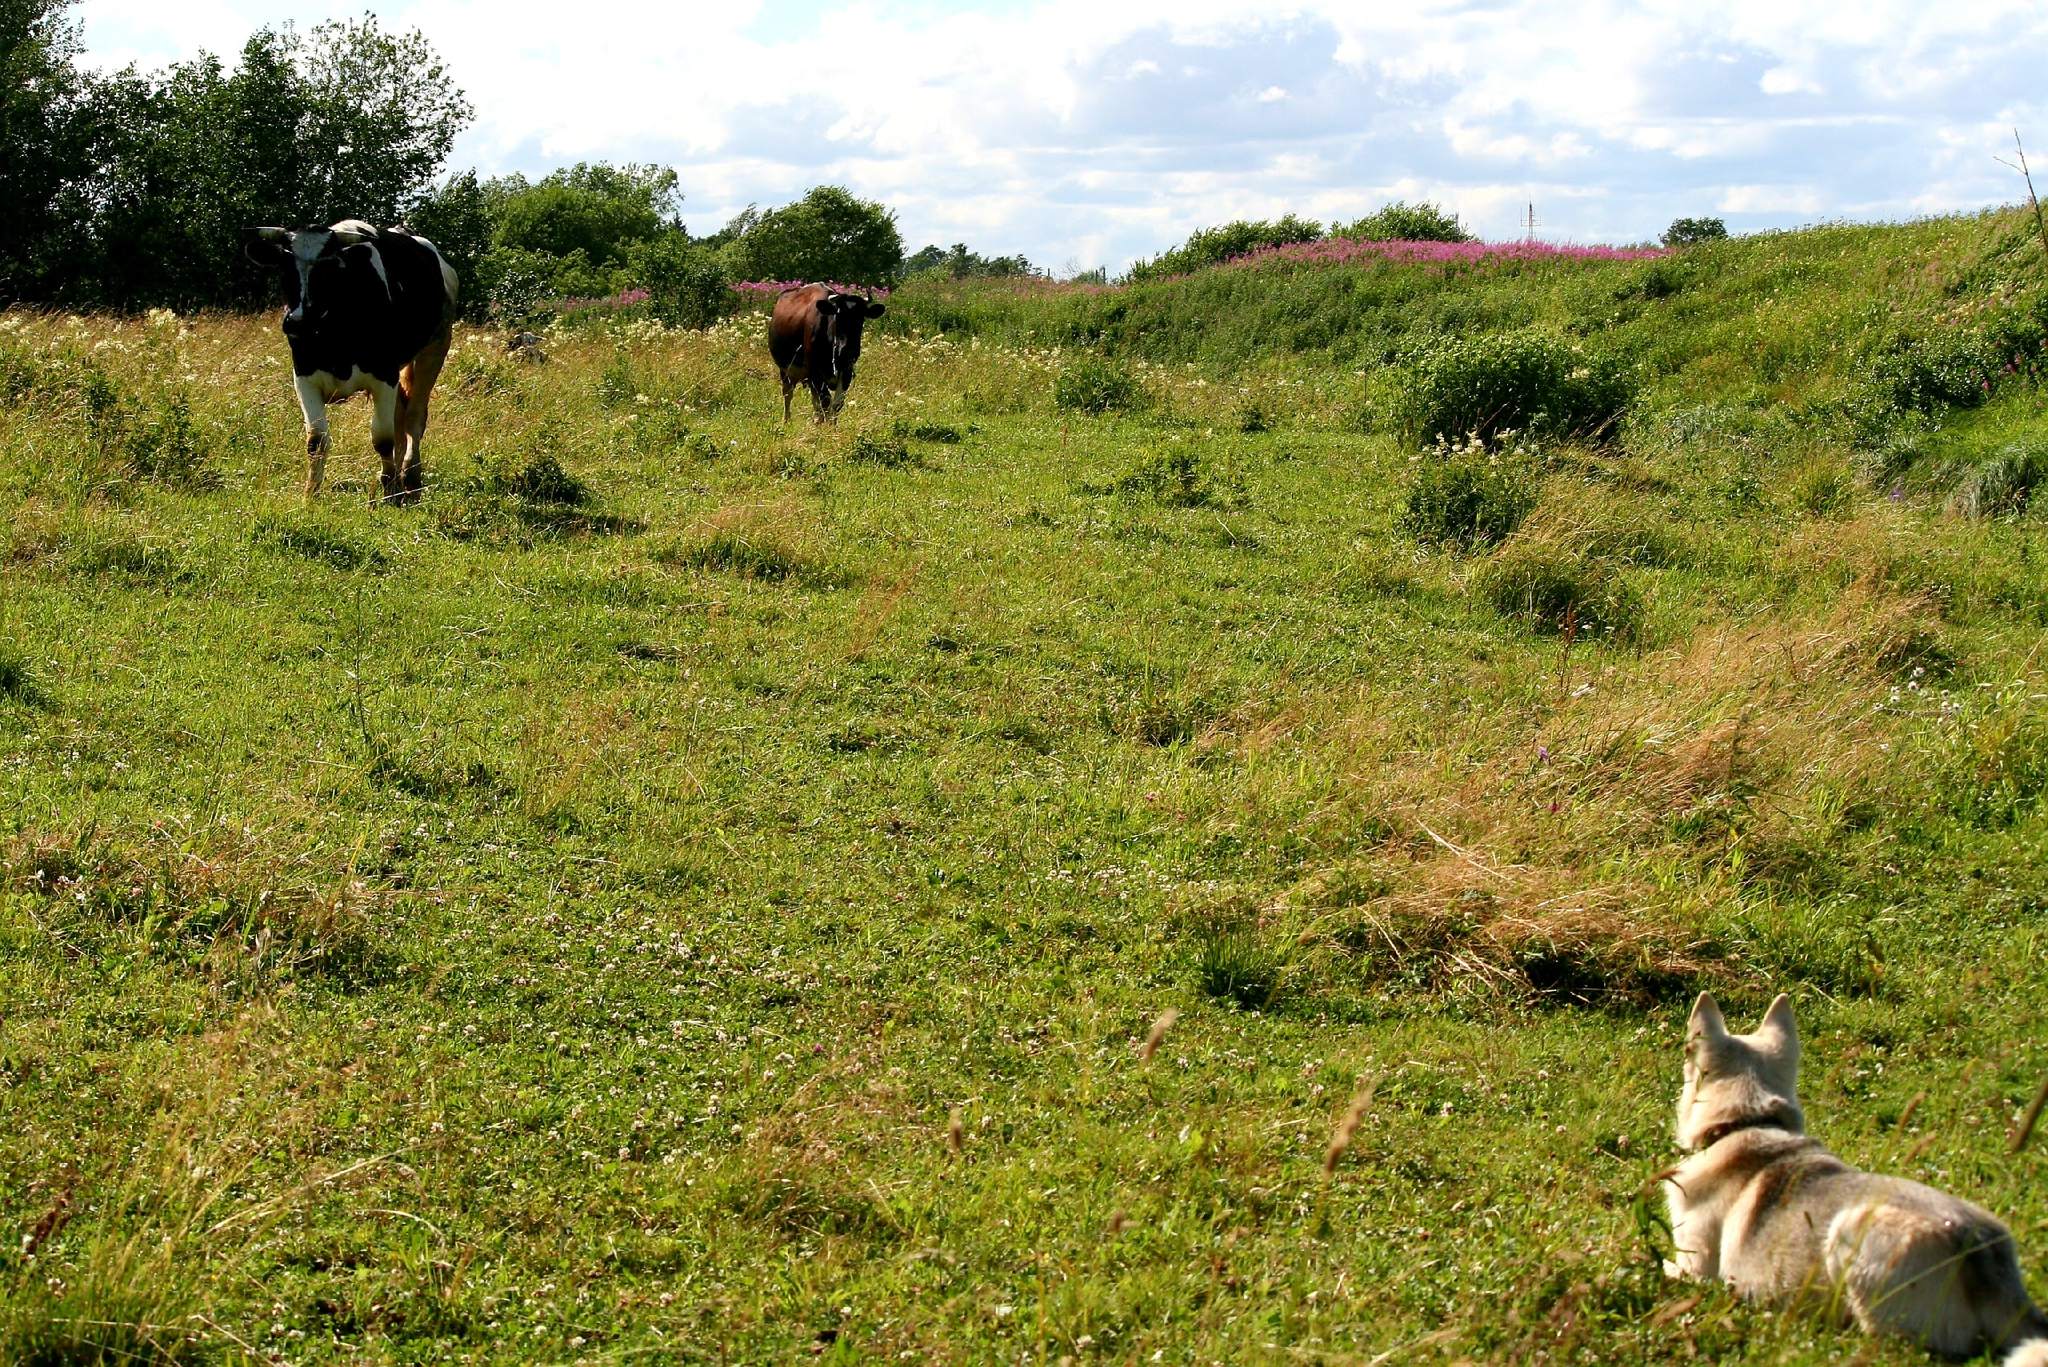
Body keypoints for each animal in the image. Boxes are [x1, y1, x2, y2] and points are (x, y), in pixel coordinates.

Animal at [241, 219, 458, 502]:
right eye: (284, 267)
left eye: (327, 268)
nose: (298, 321)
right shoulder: (304, 376)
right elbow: (316, 440)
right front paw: (311, 494)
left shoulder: (384, 374)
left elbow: (382, 438)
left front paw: (388, 491)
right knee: (401, 414)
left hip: (434, 349)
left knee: (414, 417)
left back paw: (410, 476)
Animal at [765, 282, 884, 422]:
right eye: (838, 316)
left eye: (861, 318)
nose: (847, 350)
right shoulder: (815, 371)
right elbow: (826, 401)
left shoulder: (847, 370)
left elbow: (837, 404)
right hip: (785, 369)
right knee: (788, 394)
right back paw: (787, 420)